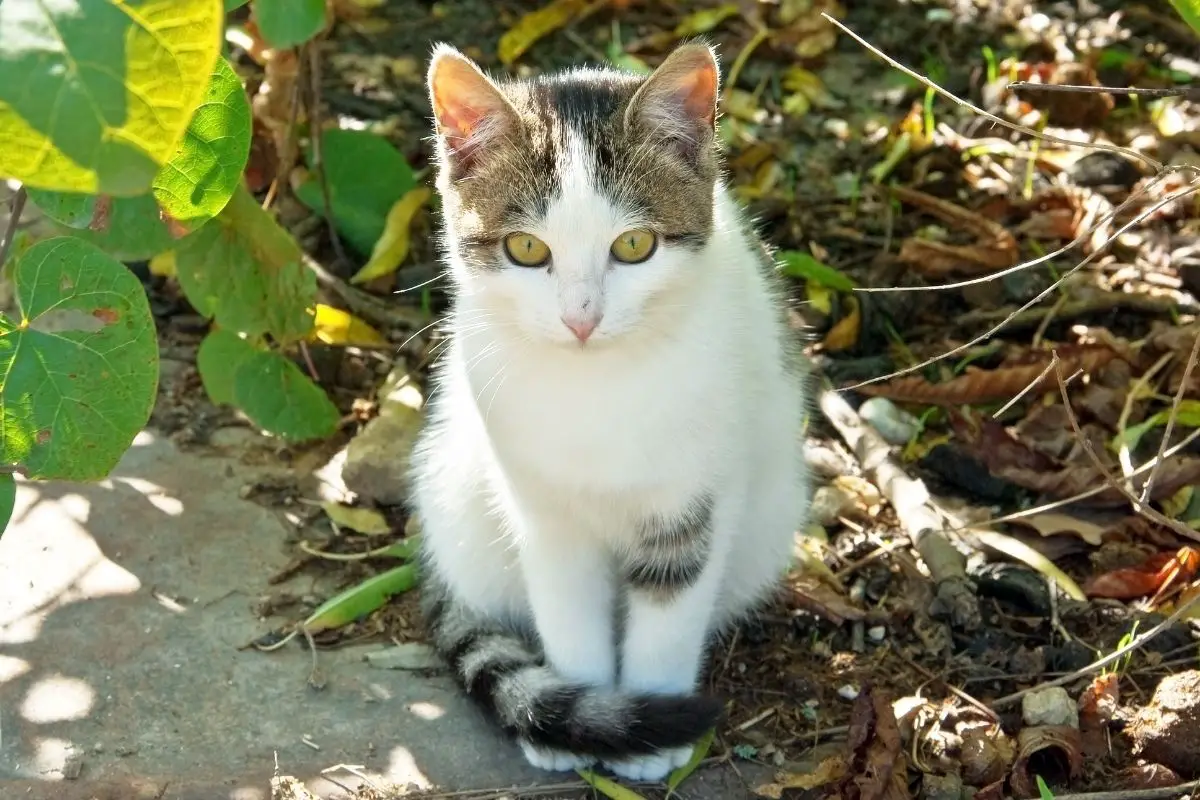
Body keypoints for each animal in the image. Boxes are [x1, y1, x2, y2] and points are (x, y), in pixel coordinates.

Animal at [408, 38, 811, 782]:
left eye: (633, 246)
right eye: (526, 249)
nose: (580, 319)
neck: (597, 383)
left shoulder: (695, 502)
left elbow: (672, 610)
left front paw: (654, 727)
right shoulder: (542, 513)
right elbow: (569, 610)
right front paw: (582, 717)